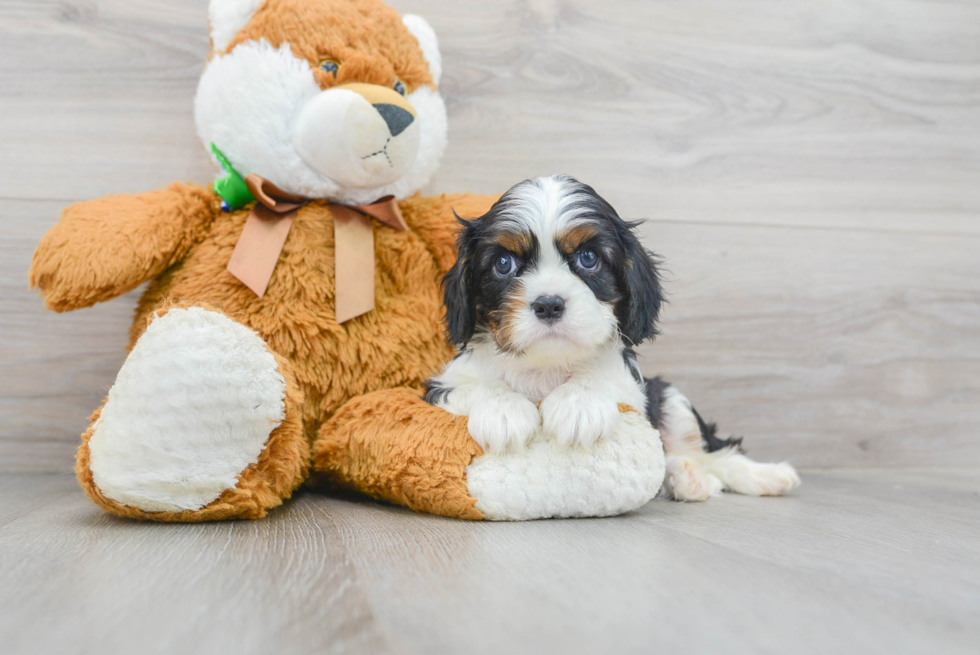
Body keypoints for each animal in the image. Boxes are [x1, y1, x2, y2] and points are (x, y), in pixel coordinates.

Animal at [424, 176, 800, 502]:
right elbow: (475, 386)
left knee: (714, 452)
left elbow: (601, 379)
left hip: (672, 399)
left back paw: (759, 476)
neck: (545, 366)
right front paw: (504, 410)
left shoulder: (636, 391)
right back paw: (687, 477)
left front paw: (579, 405)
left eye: (588, 258)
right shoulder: (437, 388)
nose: (548, 304)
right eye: (504, 264)